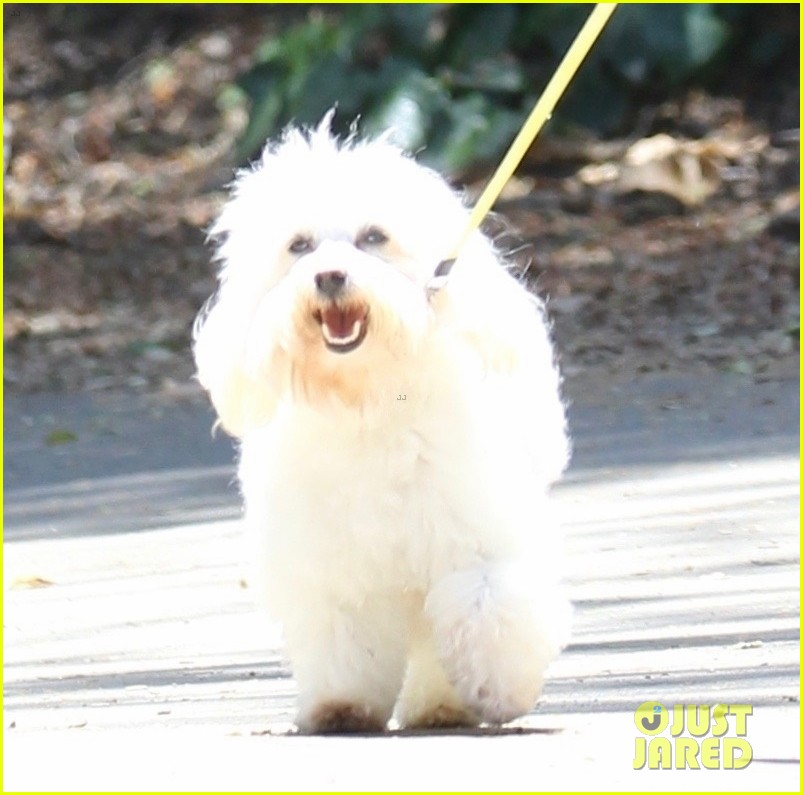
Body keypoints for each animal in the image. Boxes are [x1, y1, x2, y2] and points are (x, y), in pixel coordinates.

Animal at [195, 116, 572, 732]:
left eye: (374, 237)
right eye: (298, 246)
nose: (328, 275)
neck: (368, 397)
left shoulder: (475, 537)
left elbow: (485, 604)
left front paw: (497, 690)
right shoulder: (333, 568)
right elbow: (346, 637)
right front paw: (341, 704)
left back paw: (443, 703)